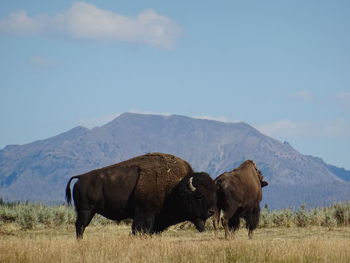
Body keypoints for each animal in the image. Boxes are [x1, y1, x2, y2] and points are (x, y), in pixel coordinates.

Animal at [64, 153, 215, 239]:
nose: (211, 211)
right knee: (80, 225)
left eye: (212, 194)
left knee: (80, 225)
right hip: (86, 210)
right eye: (199, 196)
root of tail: (81, 177)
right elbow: (140, 229)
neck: (175, 187)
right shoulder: (144, 213)